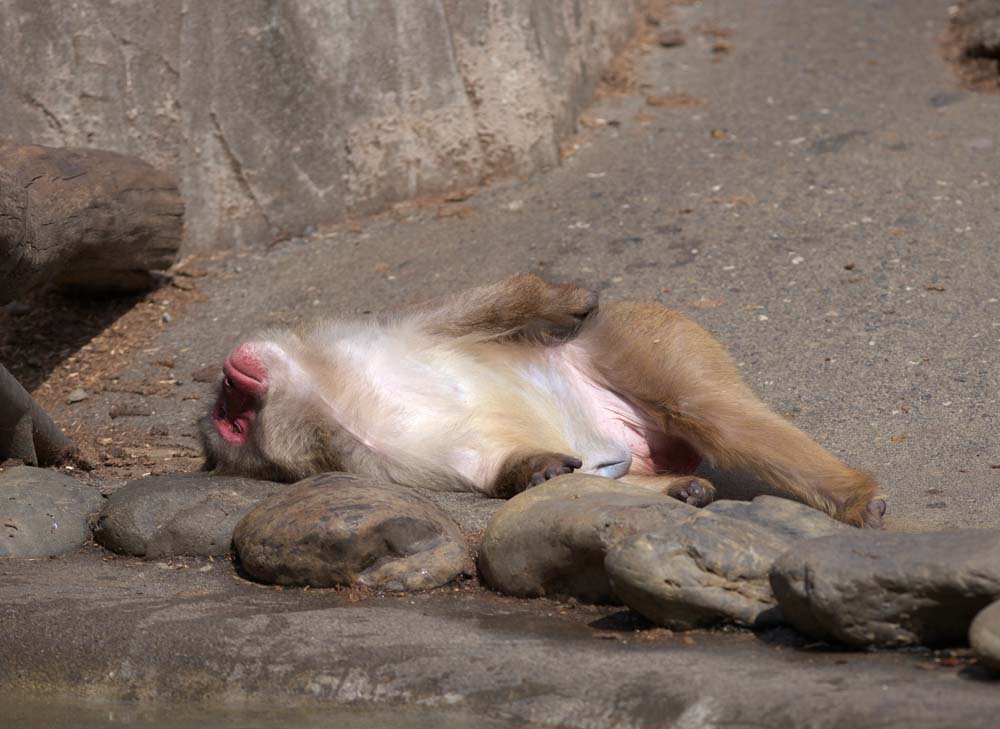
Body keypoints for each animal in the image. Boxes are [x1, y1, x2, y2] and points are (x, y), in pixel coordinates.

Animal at [199, 273, 885, 527]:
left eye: (231, 410)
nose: (231, 383)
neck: (332, 392)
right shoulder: (374, 461)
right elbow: (483, 468)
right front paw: (533, 471)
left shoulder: (377, 336)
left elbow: (482, 309)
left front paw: (560, 297)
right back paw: (678, 488)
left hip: (645, 337)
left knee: (711, 411)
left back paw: (850, 496)